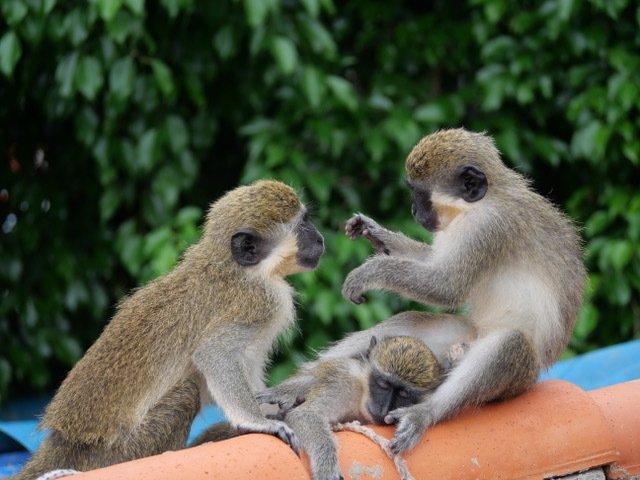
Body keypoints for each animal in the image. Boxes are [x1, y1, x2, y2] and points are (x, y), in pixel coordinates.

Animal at [340, 128, 584, 454]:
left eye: (418, 192)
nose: (413, 209)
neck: (478, 204)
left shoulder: (486, 229)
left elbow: (447, 287)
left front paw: (369, 272)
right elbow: (434, 265)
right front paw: (377, 233)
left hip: (519, 379)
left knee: (509, 345)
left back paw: (425, 412)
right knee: (408, 322)